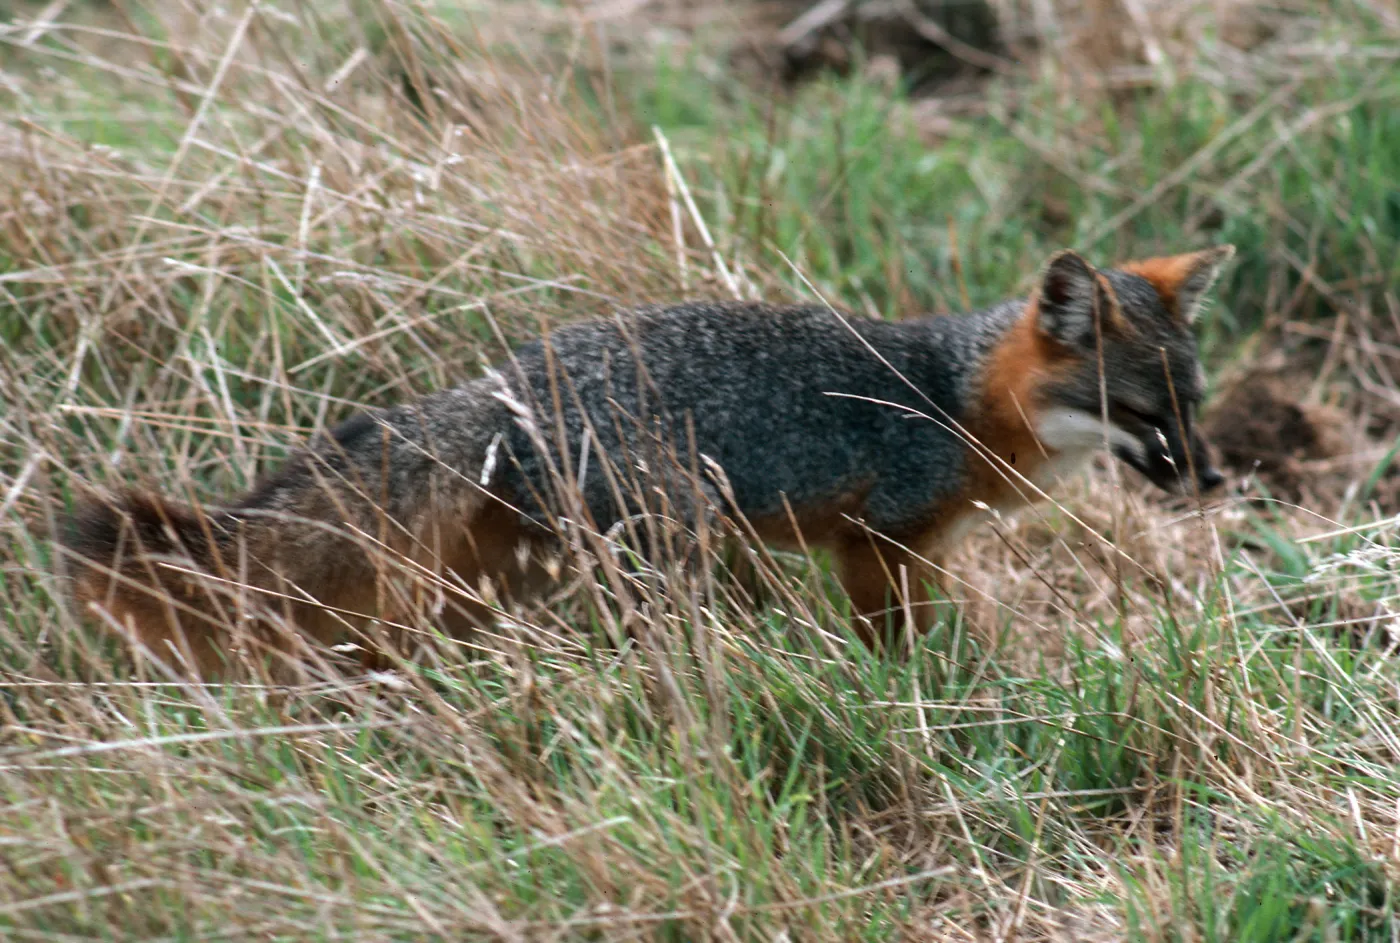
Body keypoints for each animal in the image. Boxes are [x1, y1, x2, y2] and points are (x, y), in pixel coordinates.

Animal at [60, 245, 1232, 677]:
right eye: (1143, 414)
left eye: (1197, 406)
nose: (1213, 480)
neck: (953, 397)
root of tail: (504, 381)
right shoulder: (878, 541)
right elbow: (895, 641)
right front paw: (912, 693)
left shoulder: (915, 547)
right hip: (665, 545)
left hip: (506, 570)